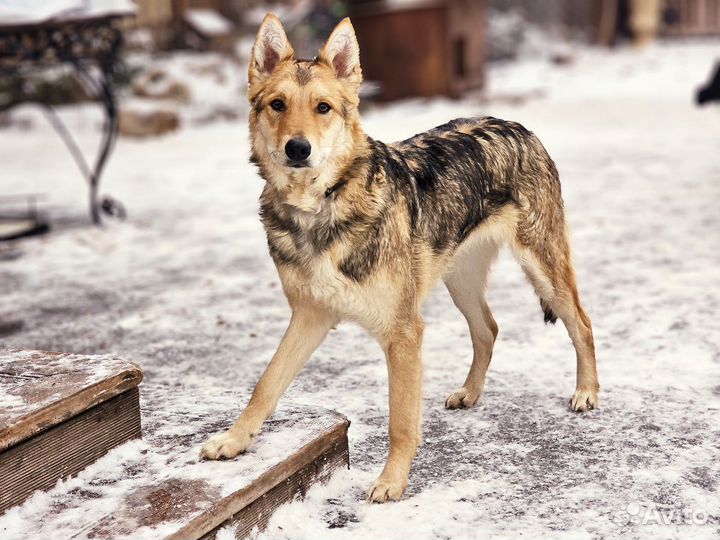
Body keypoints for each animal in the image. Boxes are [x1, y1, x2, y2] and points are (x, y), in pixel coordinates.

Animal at [200, 14, 600, 504]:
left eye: (322, 108)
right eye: (278, 104)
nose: (298, 148)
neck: (322, 207)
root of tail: (517, 125)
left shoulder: (404, 332)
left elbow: (401, 422)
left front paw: (391, 482)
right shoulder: (309, 316)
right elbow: (265, 385)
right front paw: (233, 441)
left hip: (543, 270)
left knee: (581, 323)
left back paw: (586, 393)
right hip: (459, 282)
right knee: (488, 329)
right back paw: (470, 393)